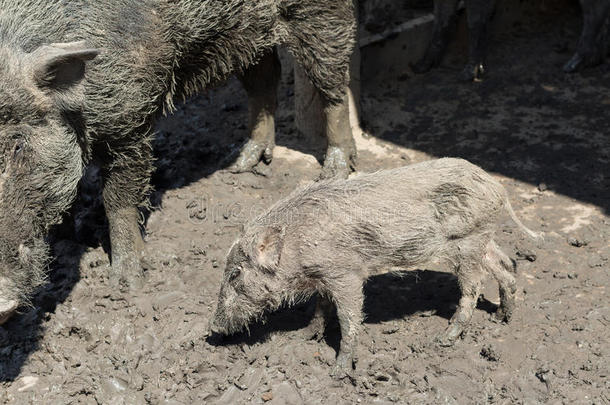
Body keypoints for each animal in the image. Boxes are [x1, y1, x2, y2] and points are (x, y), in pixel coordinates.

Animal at [0, 0, 356, 322]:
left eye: (18, 145)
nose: (2, 302)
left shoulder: (131, 115)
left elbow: (119, 199)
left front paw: (127, 284)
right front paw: (75, 230)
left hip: (320, 12)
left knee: (332, 80)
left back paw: (335, 171)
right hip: (250, 30)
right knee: (264, 73)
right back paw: (242, 164)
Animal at [210, 159, 540, 378]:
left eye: (235, 273)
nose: (212, 330)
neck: (297, 245)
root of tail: (497, 187)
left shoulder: (346, 275)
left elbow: (349, 317)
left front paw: (338, 372)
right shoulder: (325, 278)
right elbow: (320, 308)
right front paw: (301, 337)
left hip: (467, 244)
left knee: (473, 287)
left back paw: (444, 339)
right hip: (483, 239)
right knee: (506, 266)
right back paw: (502, 318)